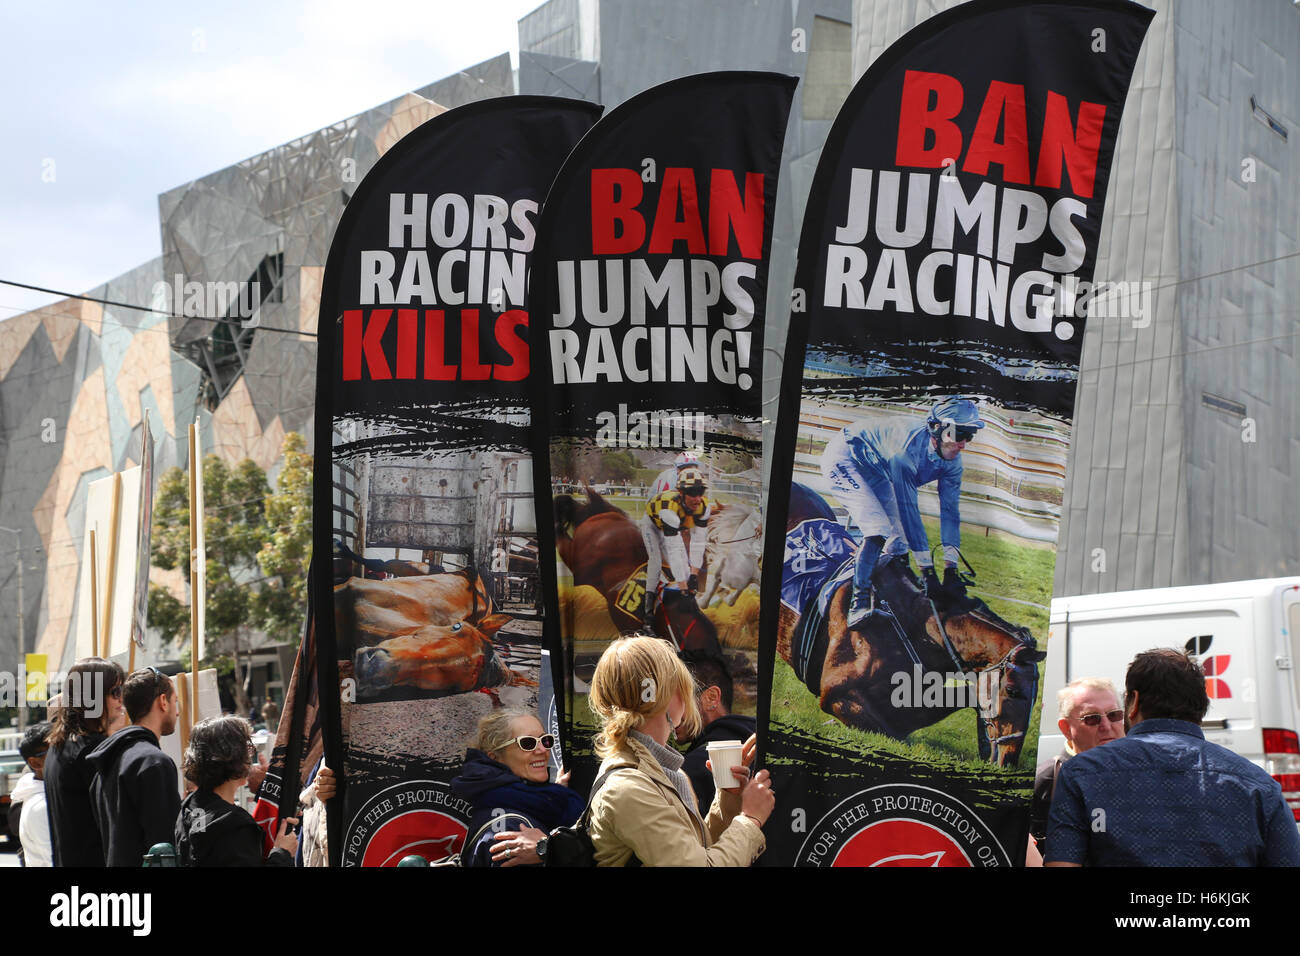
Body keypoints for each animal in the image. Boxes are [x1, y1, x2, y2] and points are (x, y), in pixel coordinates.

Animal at [774, 486, 1040, 770]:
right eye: (1013, 691)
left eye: (1036, 698)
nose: (1009, 760)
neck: (915, 629)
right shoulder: (835, 695)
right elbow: (887, 729)